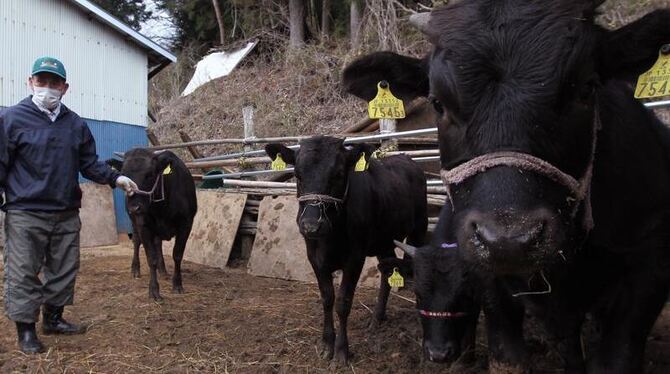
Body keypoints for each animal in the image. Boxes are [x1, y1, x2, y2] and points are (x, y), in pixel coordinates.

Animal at [109, 149, 197, 300]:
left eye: (149, 174)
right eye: (124, 174)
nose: (134, 208)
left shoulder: (186, 224)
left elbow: (177, 254)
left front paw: (177, 284)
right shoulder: (144, 226)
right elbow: (151, 259)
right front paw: (154, 290)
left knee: (158, 243)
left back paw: (163, 270)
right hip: (135, 223)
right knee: (137, 242)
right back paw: (135, 269)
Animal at [266, 137, 428, 366]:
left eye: (339, 174)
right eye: (297, 175)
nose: (311, 225)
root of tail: (406, 158)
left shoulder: (355, 258)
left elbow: (343, 302)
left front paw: (341, 351)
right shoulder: (313, 256)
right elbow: (327, 297)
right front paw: (327, 345)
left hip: (419, 229)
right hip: (384, 240)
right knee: (387, 271)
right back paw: (377, 318)